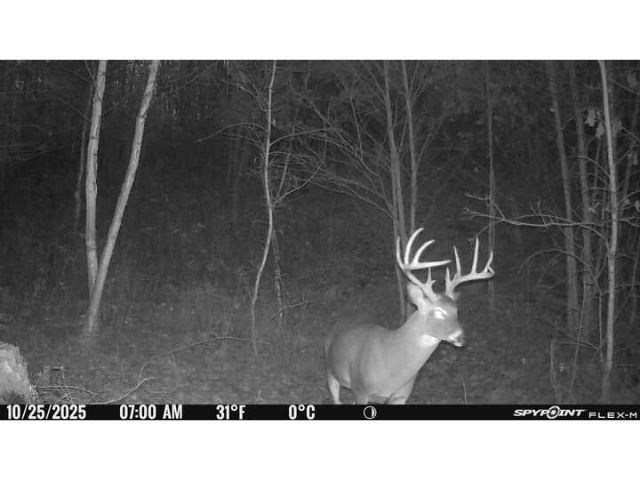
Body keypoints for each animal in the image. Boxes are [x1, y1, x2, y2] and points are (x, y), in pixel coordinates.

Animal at [324, 228, 495, 404]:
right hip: (330, 368)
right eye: (438, 312)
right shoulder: (360, 389)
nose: (462, 338)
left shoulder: (402, 395)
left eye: (456, 311)